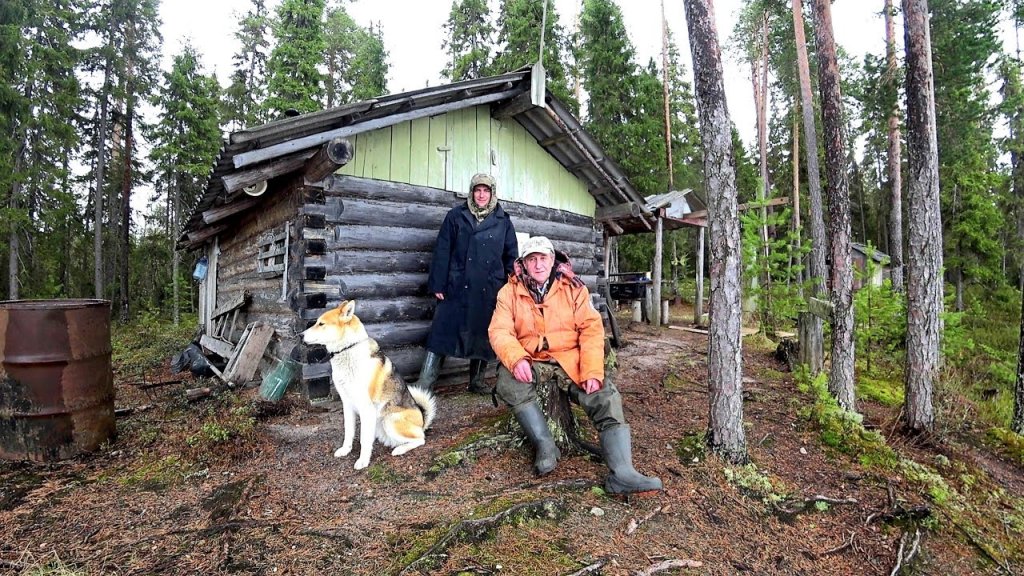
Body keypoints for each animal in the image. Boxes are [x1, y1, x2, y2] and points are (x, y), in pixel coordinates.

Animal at [299, 297, 436, 469]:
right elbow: (349, 432)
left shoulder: (366, 408)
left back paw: (400, 449)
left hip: (389, 420)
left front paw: (363, 461)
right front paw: (345, 450)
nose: (300, 335)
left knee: (421, 439)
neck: (347, 350)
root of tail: (422, 421)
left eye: (321, 324)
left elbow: (364, 440)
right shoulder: (347, 404)